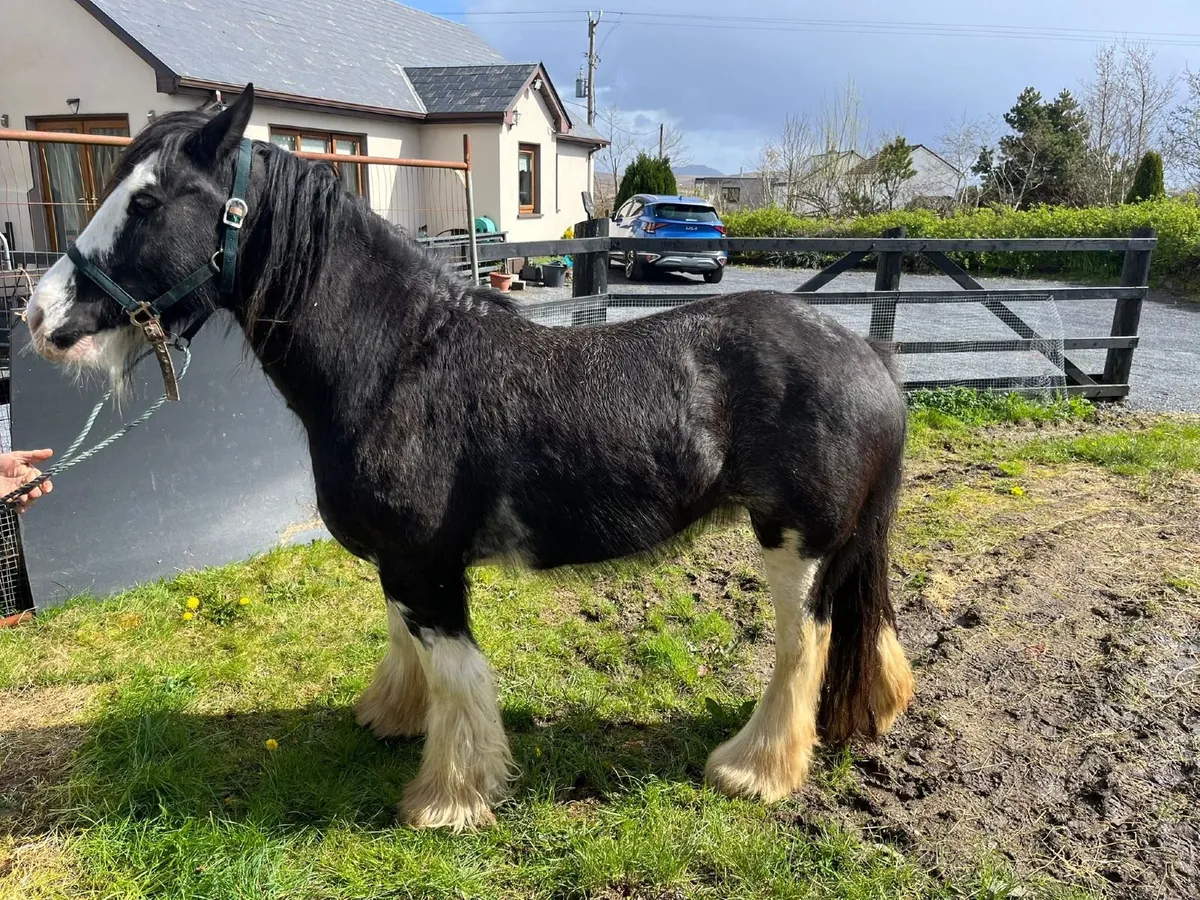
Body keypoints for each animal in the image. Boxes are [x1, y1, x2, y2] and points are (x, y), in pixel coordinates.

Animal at [25, 85, 914, 831]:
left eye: (148, 200)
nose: (39, 315)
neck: (398, 362)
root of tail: (870, 357)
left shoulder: (426, 565)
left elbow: (459, 675)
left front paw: (449, 799)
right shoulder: (400, 563)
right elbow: (405, 643)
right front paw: (390, 716)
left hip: (796, 543)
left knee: (803, 648)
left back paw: (753, 769)